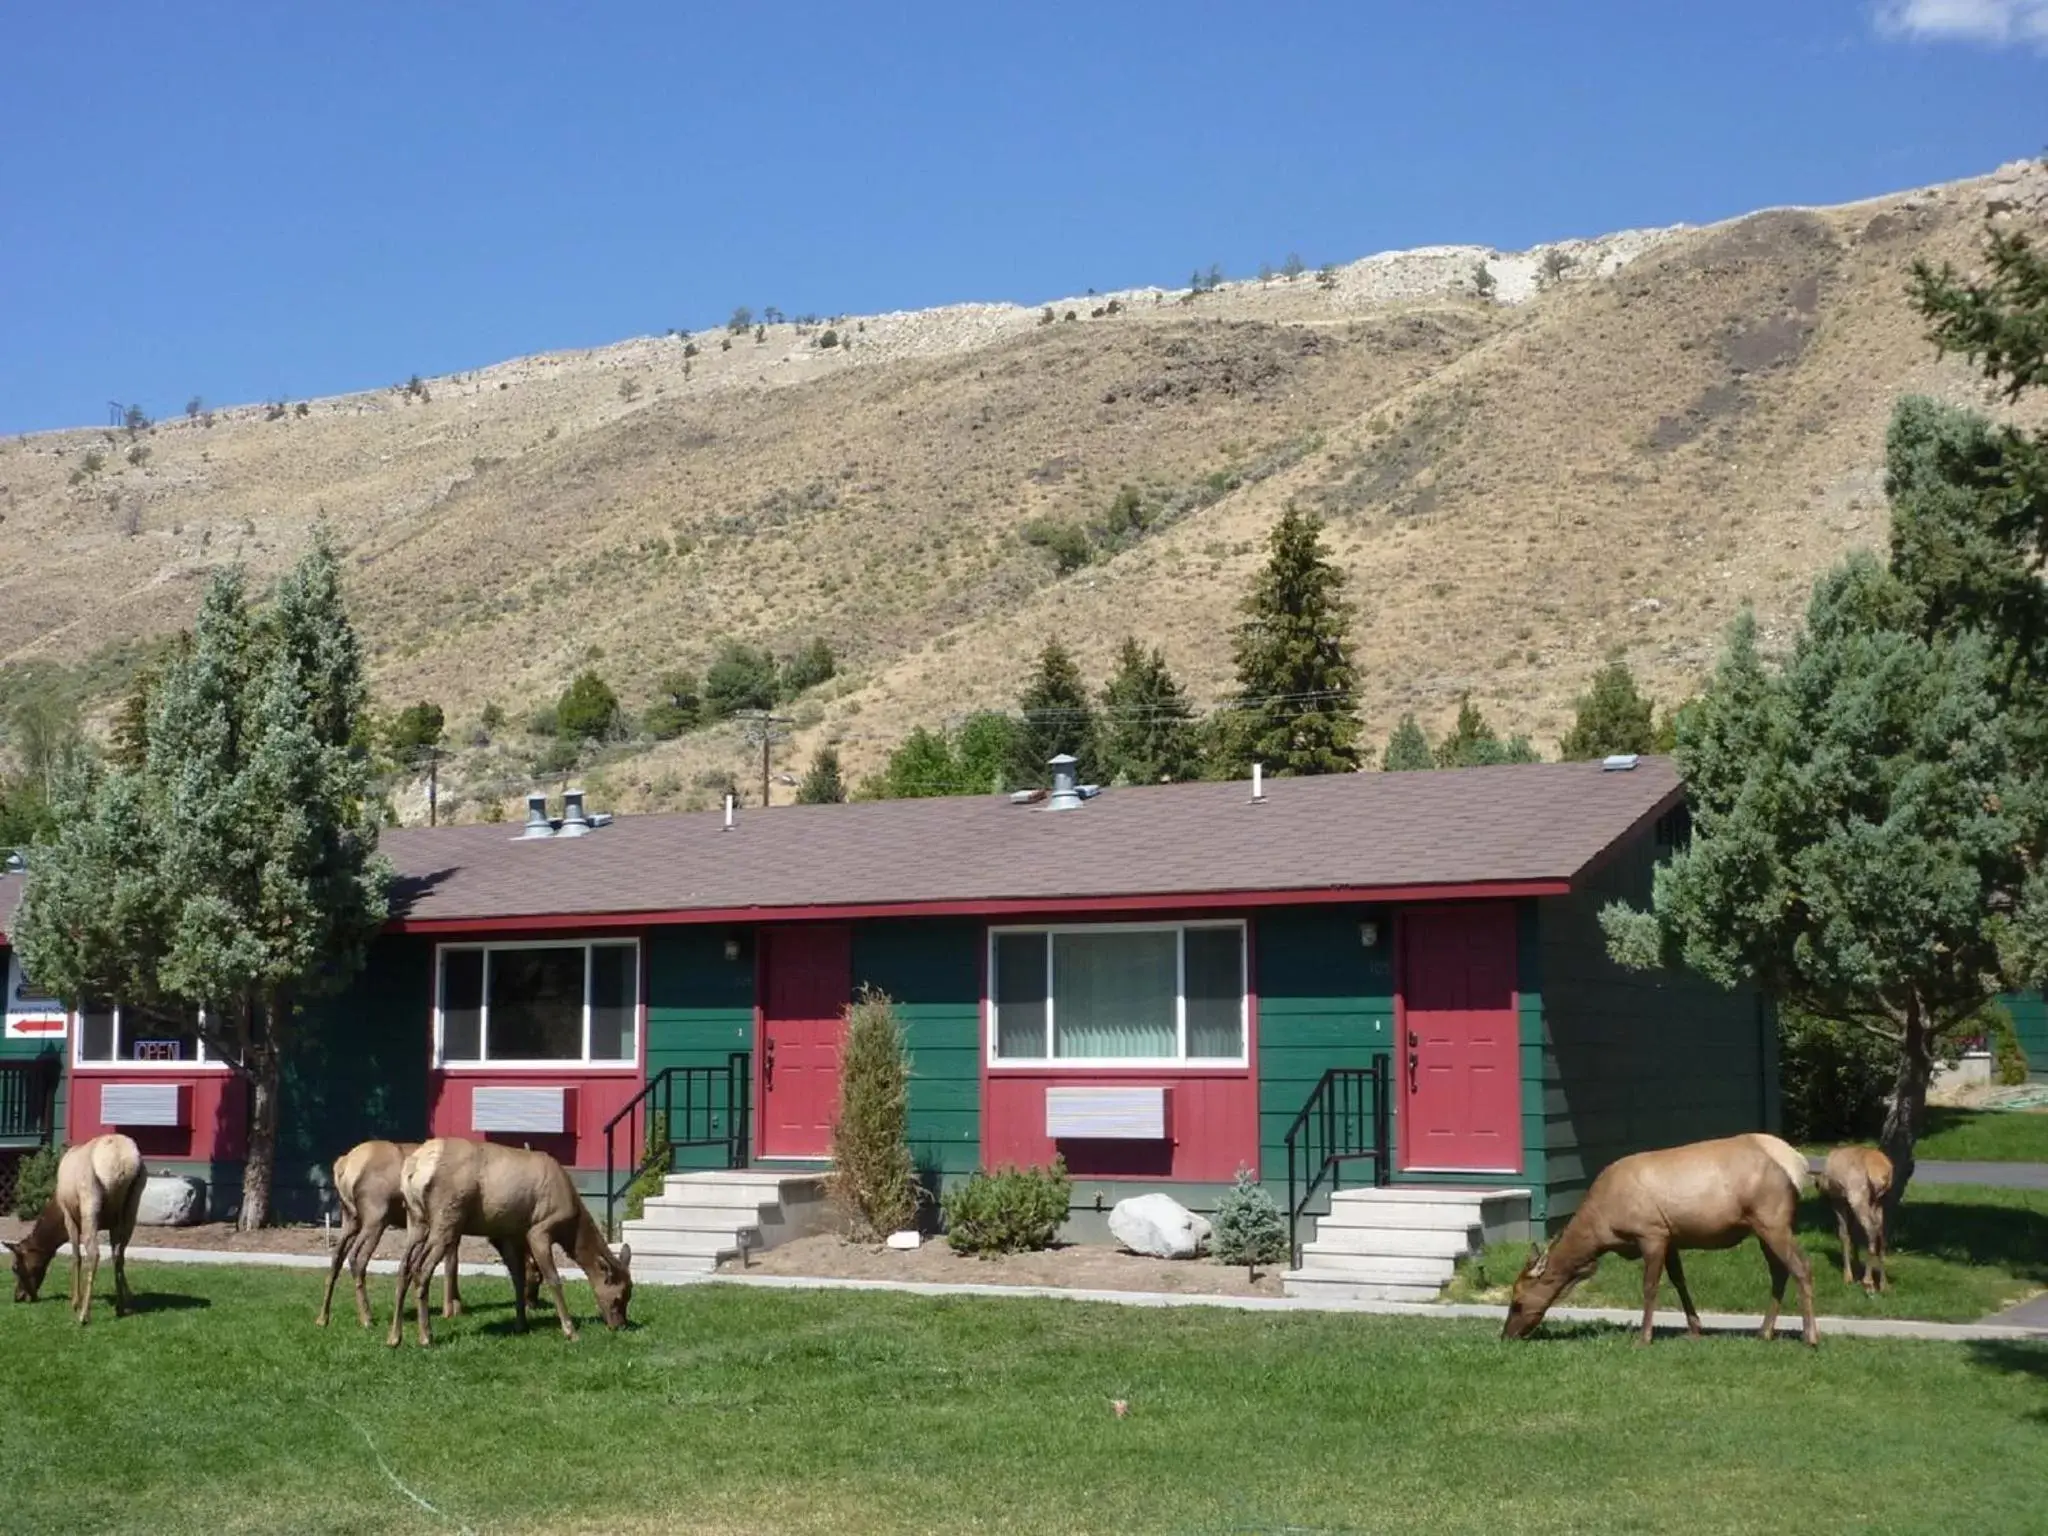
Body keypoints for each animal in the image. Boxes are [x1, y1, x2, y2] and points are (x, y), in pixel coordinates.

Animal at [6, 1138, 148, 1327]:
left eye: (15, 1267)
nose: (18, 1297)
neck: (56, 1205)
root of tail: (122, 1161)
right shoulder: (113, 1224)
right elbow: (116, 1256)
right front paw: (129, 1298)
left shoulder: (69, 1217)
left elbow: (76, 1256)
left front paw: (75, 1301)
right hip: (133, 1204)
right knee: (119, 1255)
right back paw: (119, 1308)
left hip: (89, 1199)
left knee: (94, 1254)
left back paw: (84, 1315)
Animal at [387, 1138, 626, 1351]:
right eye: (619, 1296)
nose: (619, 1325)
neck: (572, 1224)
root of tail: (413, 1170)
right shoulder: (539, 1229)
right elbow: (553, 1279)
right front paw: (570, 1331)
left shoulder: (508, 1234)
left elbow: (518, 1278)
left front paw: (521, 1324)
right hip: (447, 1217)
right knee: (421, 1269)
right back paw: (426, 1336)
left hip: (416, 1220)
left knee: (404, 1267)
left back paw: (394, 1337)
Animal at [1499, 1130, 1818, 1343]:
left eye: (1517, 1302)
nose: (1506, 1336)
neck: (1602, 1230)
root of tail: (1798, 1166)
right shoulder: (1671, 1236)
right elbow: (1679, 1281)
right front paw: (1695, 1327)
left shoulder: (1650, 1232)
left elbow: (1650, 1286)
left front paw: (1644, 1336)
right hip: (1763, 1227)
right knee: (1780, 1271)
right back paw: (1765, 1331)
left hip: (1773, 1220)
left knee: (1801, 1266)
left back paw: (1810, 1336)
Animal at [1818, 1146, 1892, 1294]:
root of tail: (1884, 1175)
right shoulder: (1847, 1203)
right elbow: (1854, 1234)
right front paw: (1856, 1270)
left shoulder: (1838, 1200)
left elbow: (1844, 1234)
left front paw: (1848, 1276)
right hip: (1879, 1202)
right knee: (1882, 1235)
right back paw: (1883, 1284)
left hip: (1858, 1198)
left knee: (1871, 1231)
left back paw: (1868, 1282)